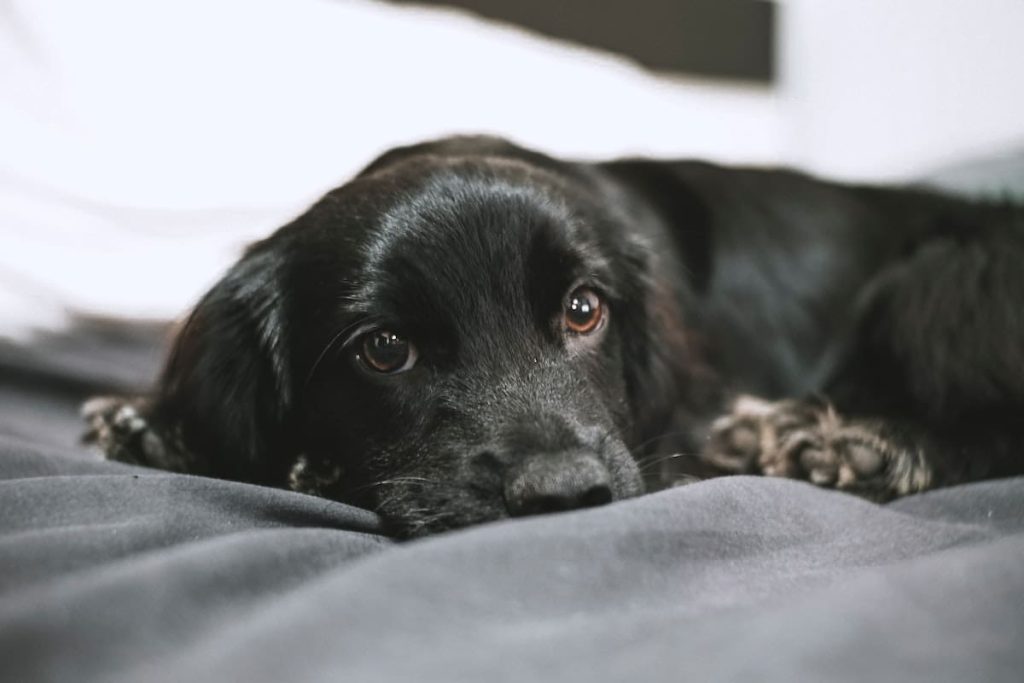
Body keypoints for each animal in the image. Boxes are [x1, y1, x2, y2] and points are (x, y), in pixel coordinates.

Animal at [81, 136, 1024, 536]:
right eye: (384, 348)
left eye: (583, 309)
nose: (566, 494)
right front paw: (154, 423)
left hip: (946, 275)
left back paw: (855, 446)